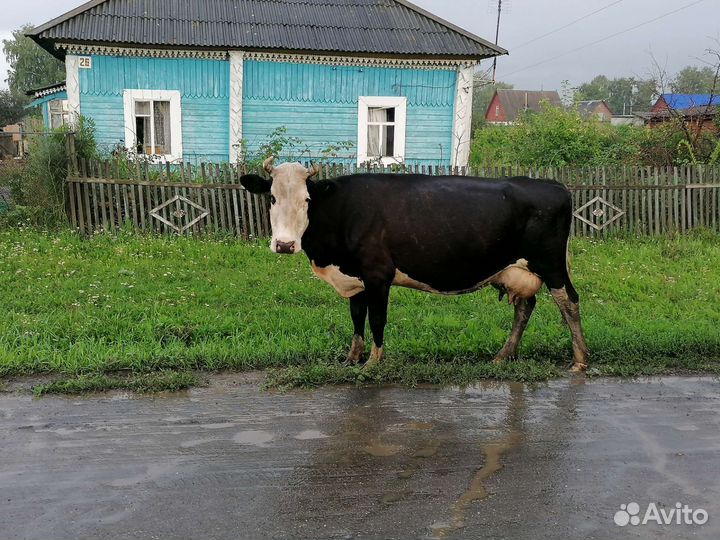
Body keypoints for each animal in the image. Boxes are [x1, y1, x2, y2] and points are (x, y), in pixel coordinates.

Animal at [241, 157, 590, 372]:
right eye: (272, 198)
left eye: (307, 200)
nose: (285, 244)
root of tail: (553, 185)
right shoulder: (355, 277)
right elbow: (356, 317)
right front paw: (352, 357)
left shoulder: (378, 274)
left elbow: (377, 319)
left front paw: (373, 362)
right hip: (517, 269)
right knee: (525, 307)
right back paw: (504, 355)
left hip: (551, 264)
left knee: (569, 302)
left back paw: (580, 359)